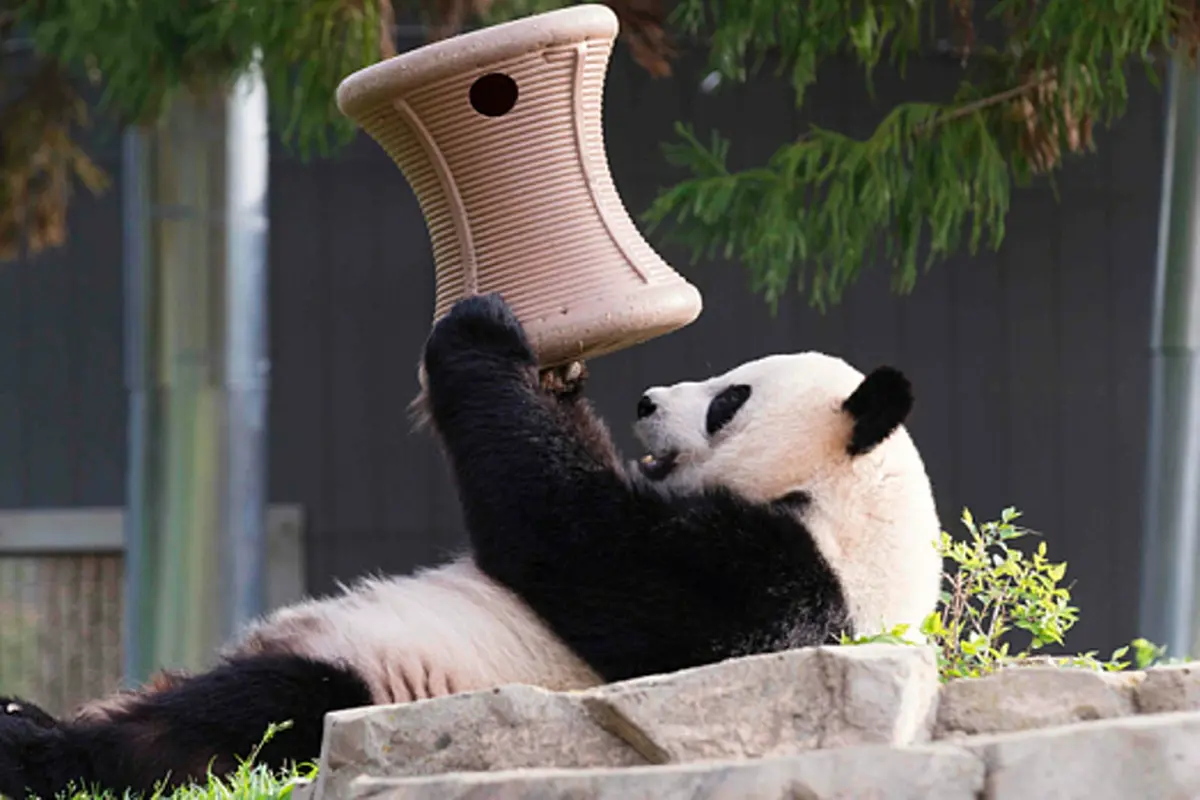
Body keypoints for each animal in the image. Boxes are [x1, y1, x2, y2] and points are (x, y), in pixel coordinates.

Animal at [0, 292, 942, 799]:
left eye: (729, 399)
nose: (646, 400)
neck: (852, 510)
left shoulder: (775, 586)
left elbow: (575, 539)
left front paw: (486, 334)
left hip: (370, 684)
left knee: (236, 718)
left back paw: (38, 743)